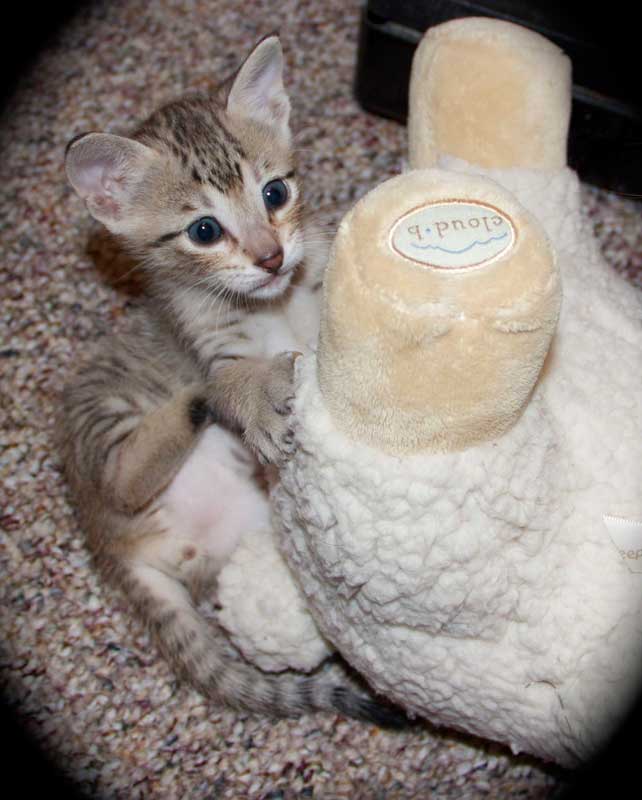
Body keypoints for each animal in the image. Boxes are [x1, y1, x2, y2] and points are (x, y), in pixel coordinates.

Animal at [60, 36, 400, 724]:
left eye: (274, 193)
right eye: (204, 231)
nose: (271, 257)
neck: (274, 306)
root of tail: (110, 547)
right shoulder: (209, 342)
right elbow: (232, 371)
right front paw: (253, 393)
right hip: (101, 427)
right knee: (125, 475)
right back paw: (212, 402)